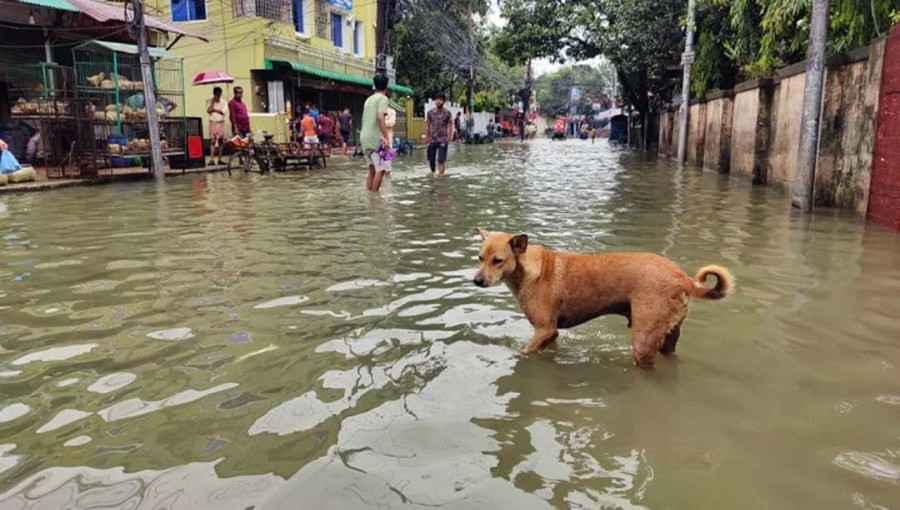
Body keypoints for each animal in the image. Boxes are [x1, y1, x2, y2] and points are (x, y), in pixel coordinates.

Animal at [472, 229, 732, 368]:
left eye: (497, 260)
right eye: (479, 257)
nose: (476, 280)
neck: (530, 269)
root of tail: (681, 277)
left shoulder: (545, 329)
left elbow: (523, 352)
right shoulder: (551, 334)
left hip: (644, 341)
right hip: (669, 338)